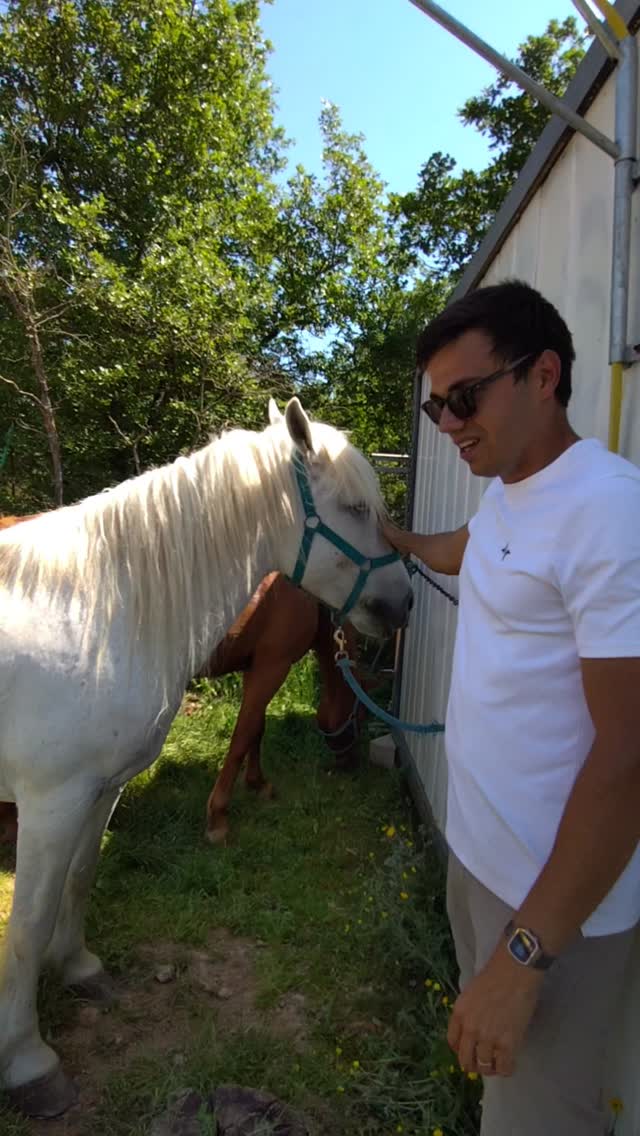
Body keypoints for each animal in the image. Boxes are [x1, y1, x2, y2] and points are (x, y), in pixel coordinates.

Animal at [0, 396, 412, 1117]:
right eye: (356, 508)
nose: (405, 601)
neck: (97, 615)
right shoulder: (51, 802)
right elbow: (25, 927)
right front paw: (28, 1062)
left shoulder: (99, 790)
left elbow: (80, 879)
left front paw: (79, 968)